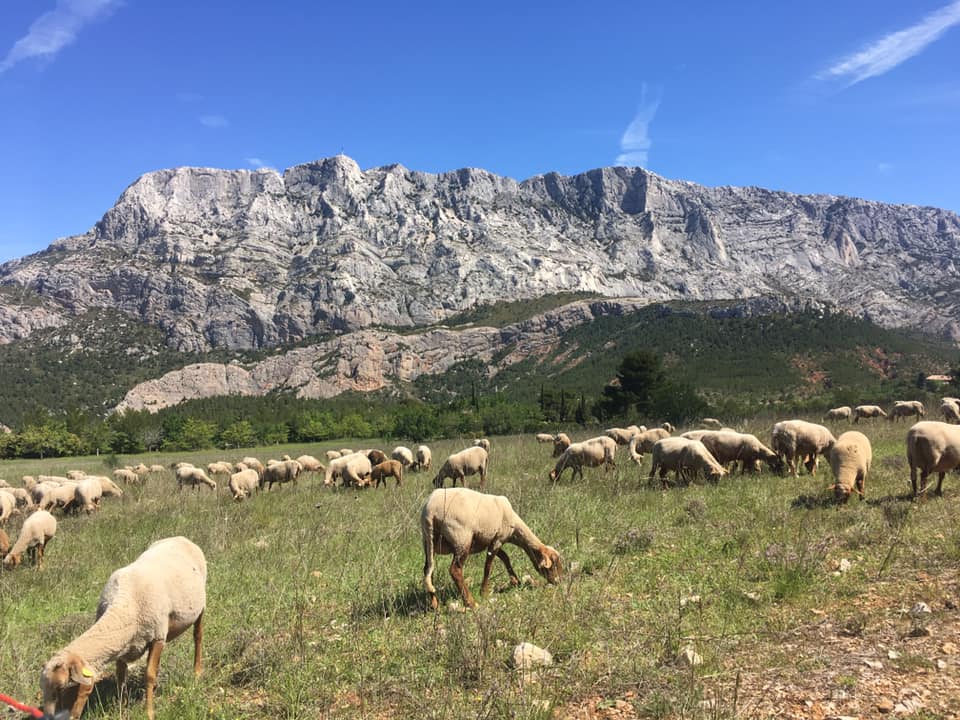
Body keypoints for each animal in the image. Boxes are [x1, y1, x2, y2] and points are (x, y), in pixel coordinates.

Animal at [39, 536, 206, 720]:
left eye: (62, 687)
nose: (48, 718)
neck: (123, 607)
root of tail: (180, 538)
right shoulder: (121, 646)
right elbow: (121, 676)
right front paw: (122, 709)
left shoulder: (158, 636)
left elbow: (149, 675)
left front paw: (149, 712)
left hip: (200, 608)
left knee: (198, 636)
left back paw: (197, 672)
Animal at [420, 487, 561, 609]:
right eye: (553, 565)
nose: (559, 582)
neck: (515, 530)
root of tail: (429, 510)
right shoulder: (498, 539)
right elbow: (488, 567)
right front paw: (484, 592)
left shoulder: (491, 540)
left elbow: (505, 558)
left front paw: (516, 581)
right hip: (461, 539)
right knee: (455, 570)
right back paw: (471, 603)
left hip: (428, 541)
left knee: (428, 569)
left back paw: (434, 603)